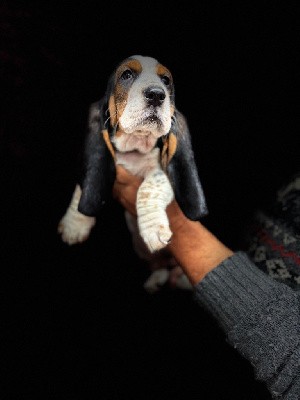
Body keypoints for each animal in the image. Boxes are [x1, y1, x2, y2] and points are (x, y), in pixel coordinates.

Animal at [58, 54, 209, 292]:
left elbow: (148, 187)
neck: (135, 145)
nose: (156, 94)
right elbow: (82, 187)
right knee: (160, 266)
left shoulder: (161, 171)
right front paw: (75, 224)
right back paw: (155, 281)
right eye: (127, 75)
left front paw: (153, 229)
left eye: (166, 80)